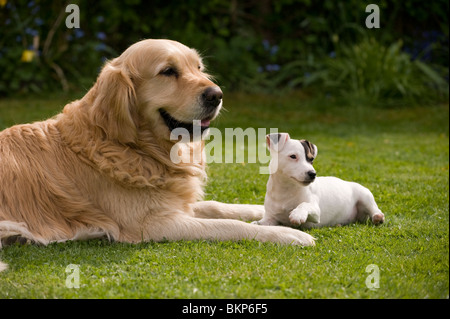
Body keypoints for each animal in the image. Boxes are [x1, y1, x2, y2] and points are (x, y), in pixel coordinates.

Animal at [255, 134, 384, 229]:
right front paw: (255, 224)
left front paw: (297, 214)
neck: (286, 189)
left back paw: (378, 216)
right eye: (293, 156)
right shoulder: (270, 219)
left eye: (311, 159)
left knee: (374, 208)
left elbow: (304, 204)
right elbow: (261, 223)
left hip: (365, 195)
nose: (312, 174)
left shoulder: (316, 212)